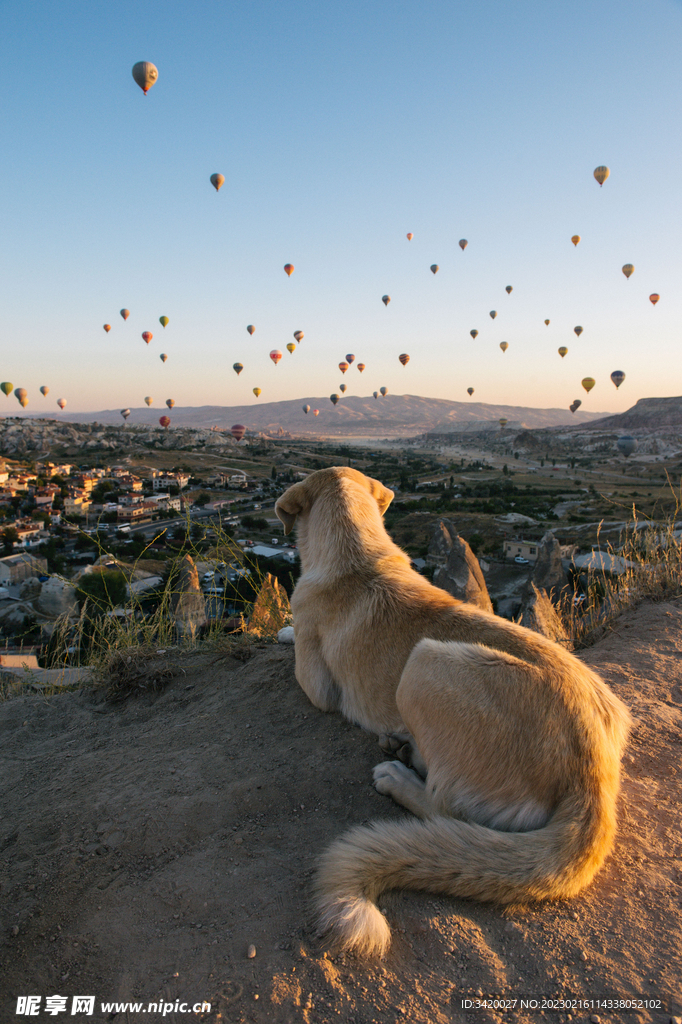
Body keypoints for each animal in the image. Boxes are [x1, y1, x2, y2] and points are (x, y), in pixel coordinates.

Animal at [272, 468, 630, 954]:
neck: (358, 554)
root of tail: (593, 777)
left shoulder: (318, 684)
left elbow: (298, 655)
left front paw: (284, 632)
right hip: (611, 700)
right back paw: (401, 746)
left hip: (424, 663)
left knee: (446, 808)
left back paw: (399, 775)